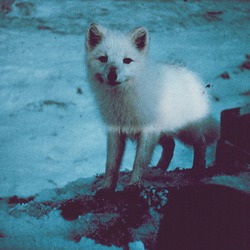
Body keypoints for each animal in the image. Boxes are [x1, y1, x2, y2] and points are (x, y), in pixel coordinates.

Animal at [84, 23, 219, 191]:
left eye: (127, 60)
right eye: (103, 59)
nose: (112, 75)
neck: (123, 99)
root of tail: (192, 76)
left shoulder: (148, 130)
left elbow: (139, 161)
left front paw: (134, 184)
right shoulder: (115, 130)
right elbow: (111, 164)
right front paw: (107, 187)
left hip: (186, 130)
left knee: (200, 142)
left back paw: (198, 169)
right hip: (162, 133)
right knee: (170, 145)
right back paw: (160, 168)